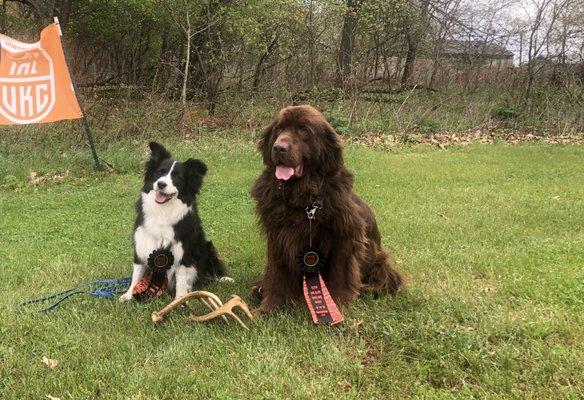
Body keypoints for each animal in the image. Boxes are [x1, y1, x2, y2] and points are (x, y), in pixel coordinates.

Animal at [119, 141, 230, 300]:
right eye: (160, 172)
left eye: (177, 177)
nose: (161, 184)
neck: (163, 211)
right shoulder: (142, 243)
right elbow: (137, 273)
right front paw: (128, 295)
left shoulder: (184, 252)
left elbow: (182, 278)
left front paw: (180, 299)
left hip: (207, 247)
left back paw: (223, 279)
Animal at [249, 104, 404, 314]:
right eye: (279, 129)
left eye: (304, 131)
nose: (278, 148)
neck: (302, 198)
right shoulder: (278, 236)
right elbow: (278, 275)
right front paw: (270, 307)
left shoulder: (345, 237)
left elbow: (340, 273)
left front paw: (338, 304)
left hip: (378, 259)